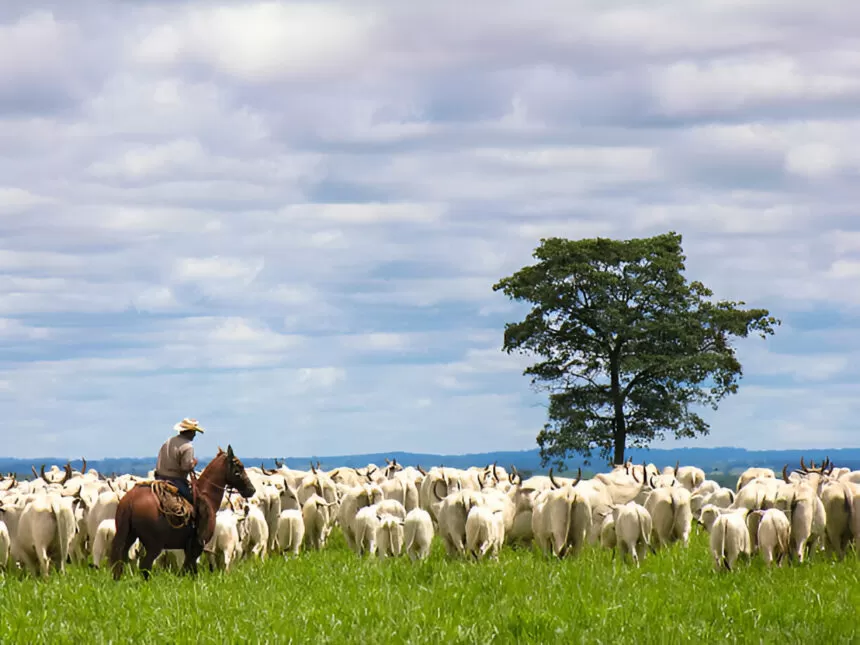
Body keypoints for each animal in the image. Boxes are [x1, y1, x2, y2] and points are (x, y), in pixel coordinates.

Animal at [109, 442, 255, 580]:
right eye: (238, 469)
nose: (251, 490)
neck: (206, 495)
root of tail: (130, 500)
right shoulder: (197, 546)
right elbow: (189, 567)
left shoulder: (188, 547)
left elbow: (189, 569)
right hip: (154, 545)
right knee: (145, 566)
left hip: (128, 536)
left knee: (120, 561)